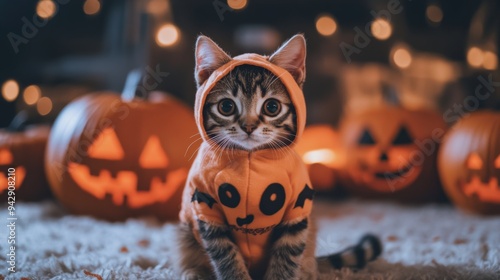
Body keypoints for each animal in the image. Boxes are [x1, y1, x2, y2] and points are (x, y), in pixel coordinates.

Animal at [174, 35, 380, 280]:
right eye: (226, 106)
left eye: (272, 107)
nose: (248, 126)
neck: (250, 161)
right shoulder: (205, 210)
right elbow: (226, 257)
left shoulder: (298, 211)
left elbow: (287, 257)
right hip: (185, 233)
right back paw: (194, 272)